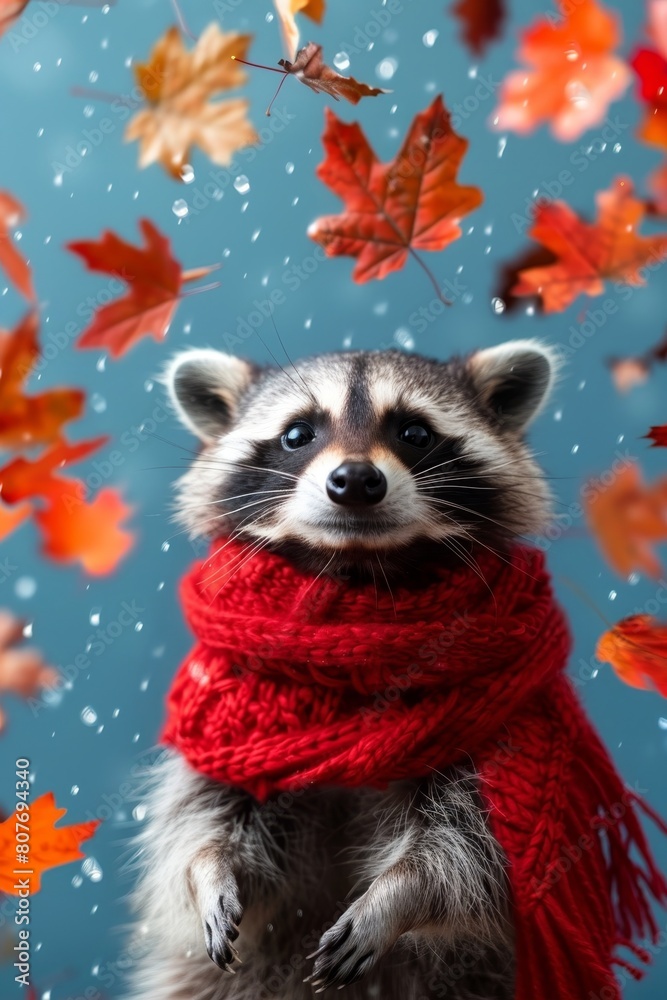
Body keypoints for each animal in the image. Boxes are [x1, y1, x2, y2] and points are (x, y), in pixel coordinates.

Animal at [126, 340, 557, 1000]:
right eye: (297, 434)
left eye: (414, 432)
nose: (355, 479)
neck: (358, 571)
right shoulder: (225, 735)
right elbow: (198, 817)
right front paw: (208, 869)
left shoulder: (496, 747)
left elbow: (471, 853)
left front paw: (399, 896)